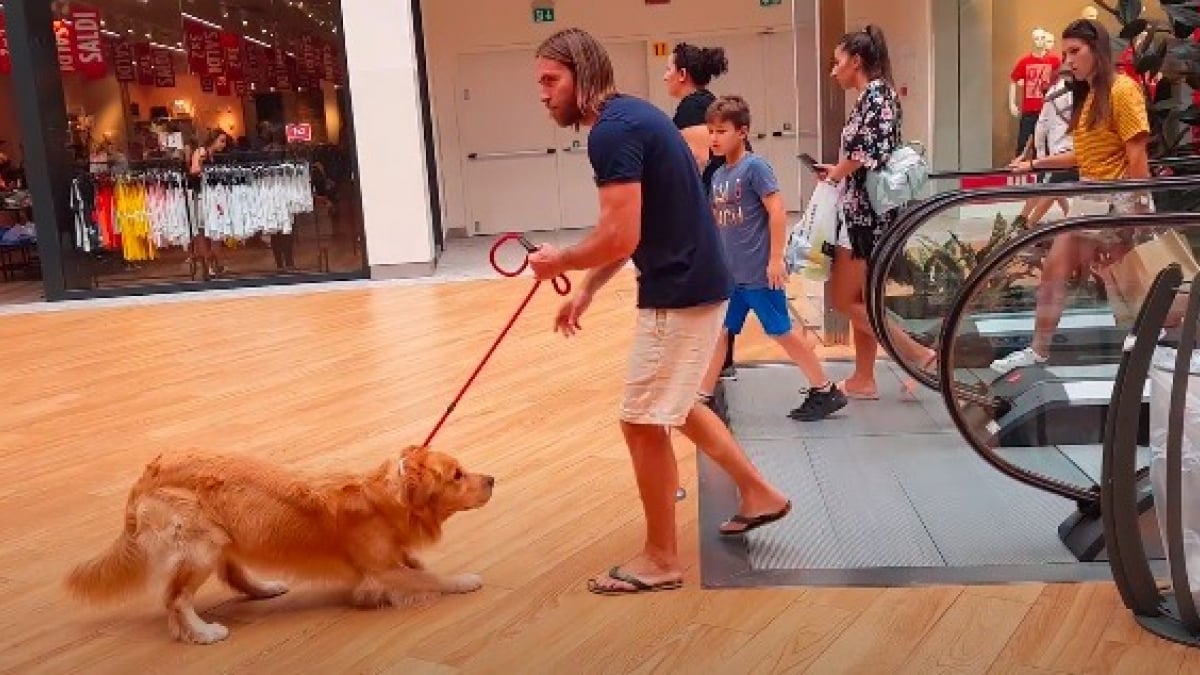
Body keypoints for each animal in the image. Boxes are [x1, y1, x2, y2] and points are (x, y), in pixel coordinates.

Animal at [59, 444, 492, 643]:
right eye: (457, 475)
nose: (492, 479)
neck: (386, 498)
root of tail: (149, 472)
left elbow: (417, 564)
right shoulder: (382, 572)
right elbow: (430, 577)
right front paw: (464, 580)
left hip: (222, 535)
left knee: (231, 574)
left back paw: (265, 588)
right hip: (201, 544)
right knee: (176, 598)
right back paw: (203, 632)